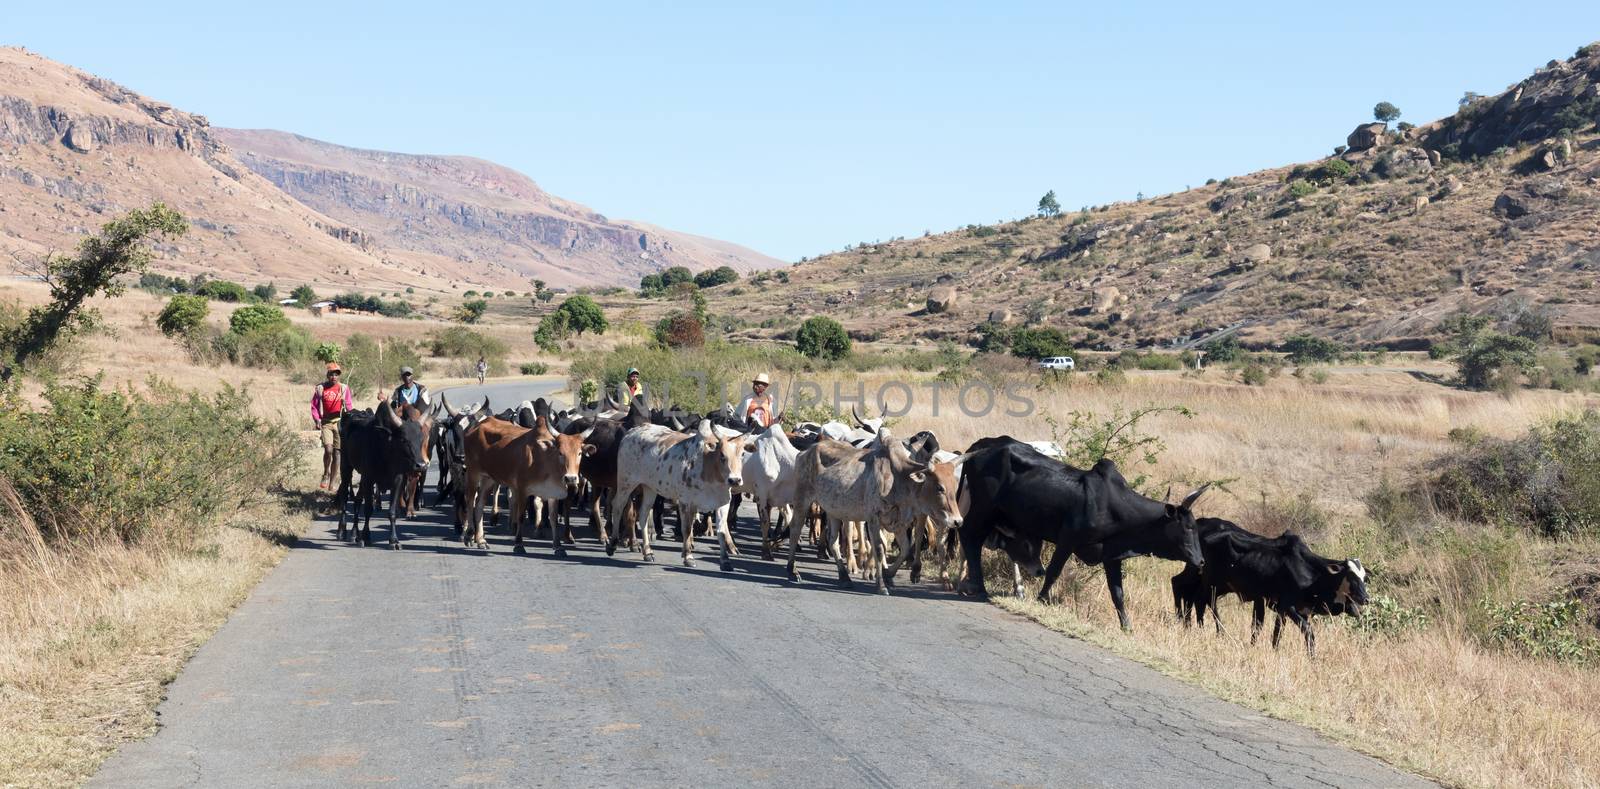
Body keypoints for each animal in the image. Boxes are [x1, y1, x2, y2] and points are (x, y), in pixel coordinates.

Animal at [337, 400, 435, 547]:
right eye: (404, 439)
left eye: (422, 438)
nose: (421, 465)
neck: (386, 450)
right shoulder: (369, 479)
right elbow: (368, 509)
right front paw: (366, 536)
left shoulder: (397, 480)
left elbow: (392, 512)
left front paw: (394, 540)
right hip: (346, 467)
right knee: (344, 495)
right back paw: (341, 530)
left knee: (357, 500)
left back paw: (354, 534)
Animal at [464, 403, 601, 550]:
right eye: (560, 452)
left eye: (580, 453)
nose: (570, 478)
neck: (545, 460)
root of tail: (478, 426)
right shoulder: (522, 489)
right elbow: (521, 516)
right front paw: (519, 544)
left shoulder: (553, 492)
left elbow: (553, 517)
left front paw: (558, 545)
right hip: (473, 472)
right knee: (470, 500)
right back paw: (469, 535)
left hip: (488, 478)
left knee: (479, 505)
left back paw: (481, 540)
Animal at [953, 432, 1203, 630]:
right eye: (1187, 527)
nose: (1200, 561)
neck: (1115, 506)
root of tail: (981, 445)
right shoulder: (1067, 541)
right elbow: (1053, 572)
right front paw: (1042, 599)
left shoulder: (1111, 556)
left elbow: (1118, 593)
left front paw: (1126, 627)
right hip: (983, 510)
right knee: (969, 537)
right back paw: (978, 586)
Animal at [1171, 515, 1369, 652]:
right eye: (1351, 577)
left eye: (1364, 578)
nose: (1366, 598)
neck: (1314, 576)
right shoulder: (1287, 606)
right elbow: (1305, 631)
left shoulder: (1285, 609)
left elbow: (1273, 631)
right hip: (1210, 581)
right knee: (1197, 597)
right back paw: (1212, 630)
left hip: (1219, 585)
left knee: (1192, 594)